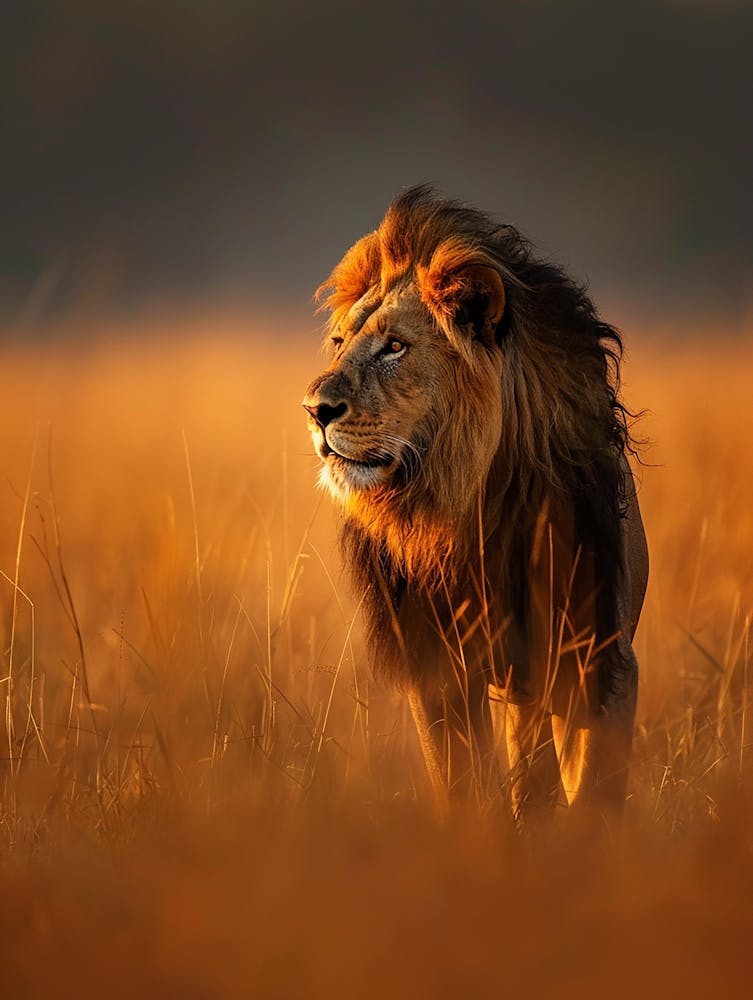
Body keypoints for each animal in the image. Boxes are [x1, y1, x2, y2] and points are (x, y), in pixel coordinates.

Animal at [303, 185, 648, 824]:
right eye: (339, 344)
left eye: (394, 347)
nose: (315, 409)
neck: (469, 504)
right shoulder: (438, 669)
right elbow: (463, 787)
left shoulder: (600, 659)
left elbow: (593, 795)